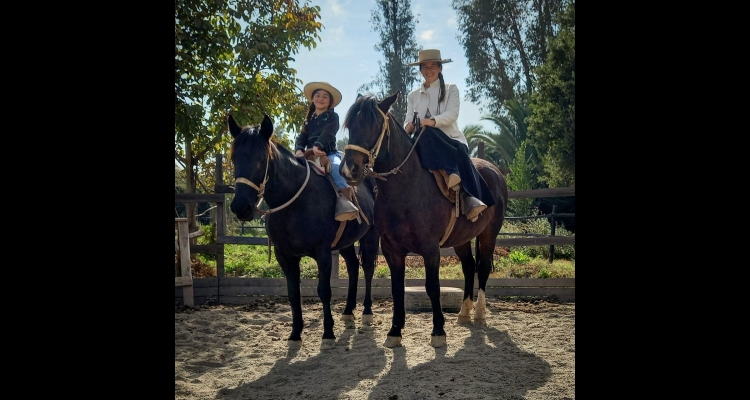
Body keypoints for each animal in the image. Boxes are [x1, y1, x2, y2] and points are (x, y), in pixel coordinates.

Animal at [228, 113, 382, 350]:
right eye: (234, 158)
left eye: (261, 159)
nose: (240, 207)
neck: (295, 201)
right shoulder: (285, 256)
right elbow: (293, 293)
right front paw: (295, 335)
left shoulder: (323, 253)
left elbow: (324, 291)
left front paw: (328, 334)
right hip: (345, 242)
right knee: (353, 268)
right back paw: (348, 313)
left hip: (371, 236)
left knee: (367, 269)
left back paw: (366, 312)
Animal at [342, 93, 512, 346]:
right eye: (350, 125)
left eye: (374, 125)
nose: (349, 170)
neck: (407, 189)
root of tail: (494, 170)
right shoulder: (392, 250)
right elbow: (397, 288)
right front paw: (395, 331)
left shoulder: (431, 250)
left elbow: (433, 287)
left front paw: (439, 331)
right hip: (462, 239)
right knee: (469, 267)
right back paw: (464, 312)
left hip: (489, 233)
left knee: (482, 268)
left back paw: (480, 314)